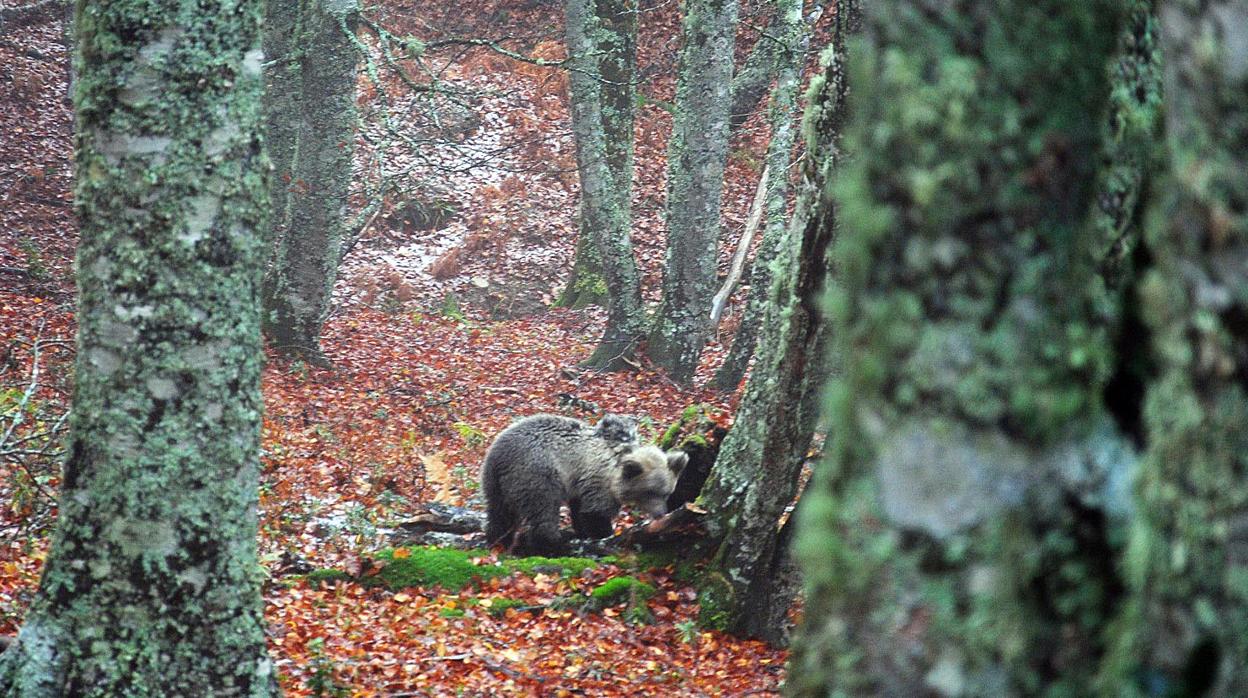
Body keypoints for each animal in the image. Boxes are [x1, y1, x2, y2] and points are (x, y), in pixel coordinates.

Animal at [479, 412, 693, 554]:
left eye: (667, 492)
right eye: (649, 492)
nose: (661, 513)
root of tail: (498, 456)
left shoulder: (580, 484)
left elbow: (579, 511)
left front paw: (583, 533)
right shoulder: (598, 480)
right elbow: (596, 513)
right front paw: (605, 536)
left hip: (495, 482)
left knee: (500, 513)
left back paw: (498, 541)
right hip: (537, 474)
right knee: (543, 511)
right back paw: (555, 545)